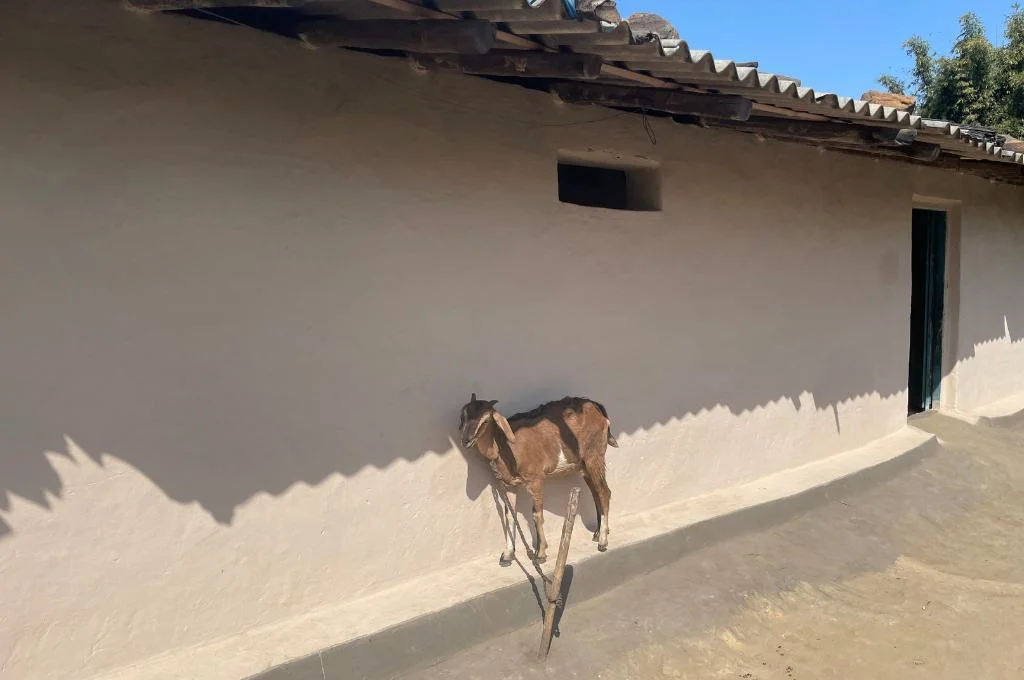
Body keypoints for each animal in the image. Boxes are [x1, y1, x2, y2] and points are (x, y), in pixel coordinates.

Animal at [459, 393, 618, 565]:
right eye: (464, 416)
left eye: (486, 420)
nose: (466, 440)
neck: (505, 447)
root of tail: (597, 408)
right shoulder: (508, 484)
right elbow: (510, 515)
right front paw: (507, 555)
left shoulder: (535, 478)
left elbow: (536, 514)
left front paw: (540, 553)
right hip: (584, 466)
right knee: (596, 493)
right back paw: (597, 533)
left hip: (594, 457)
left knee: (604, 493)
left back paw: (602, 541)